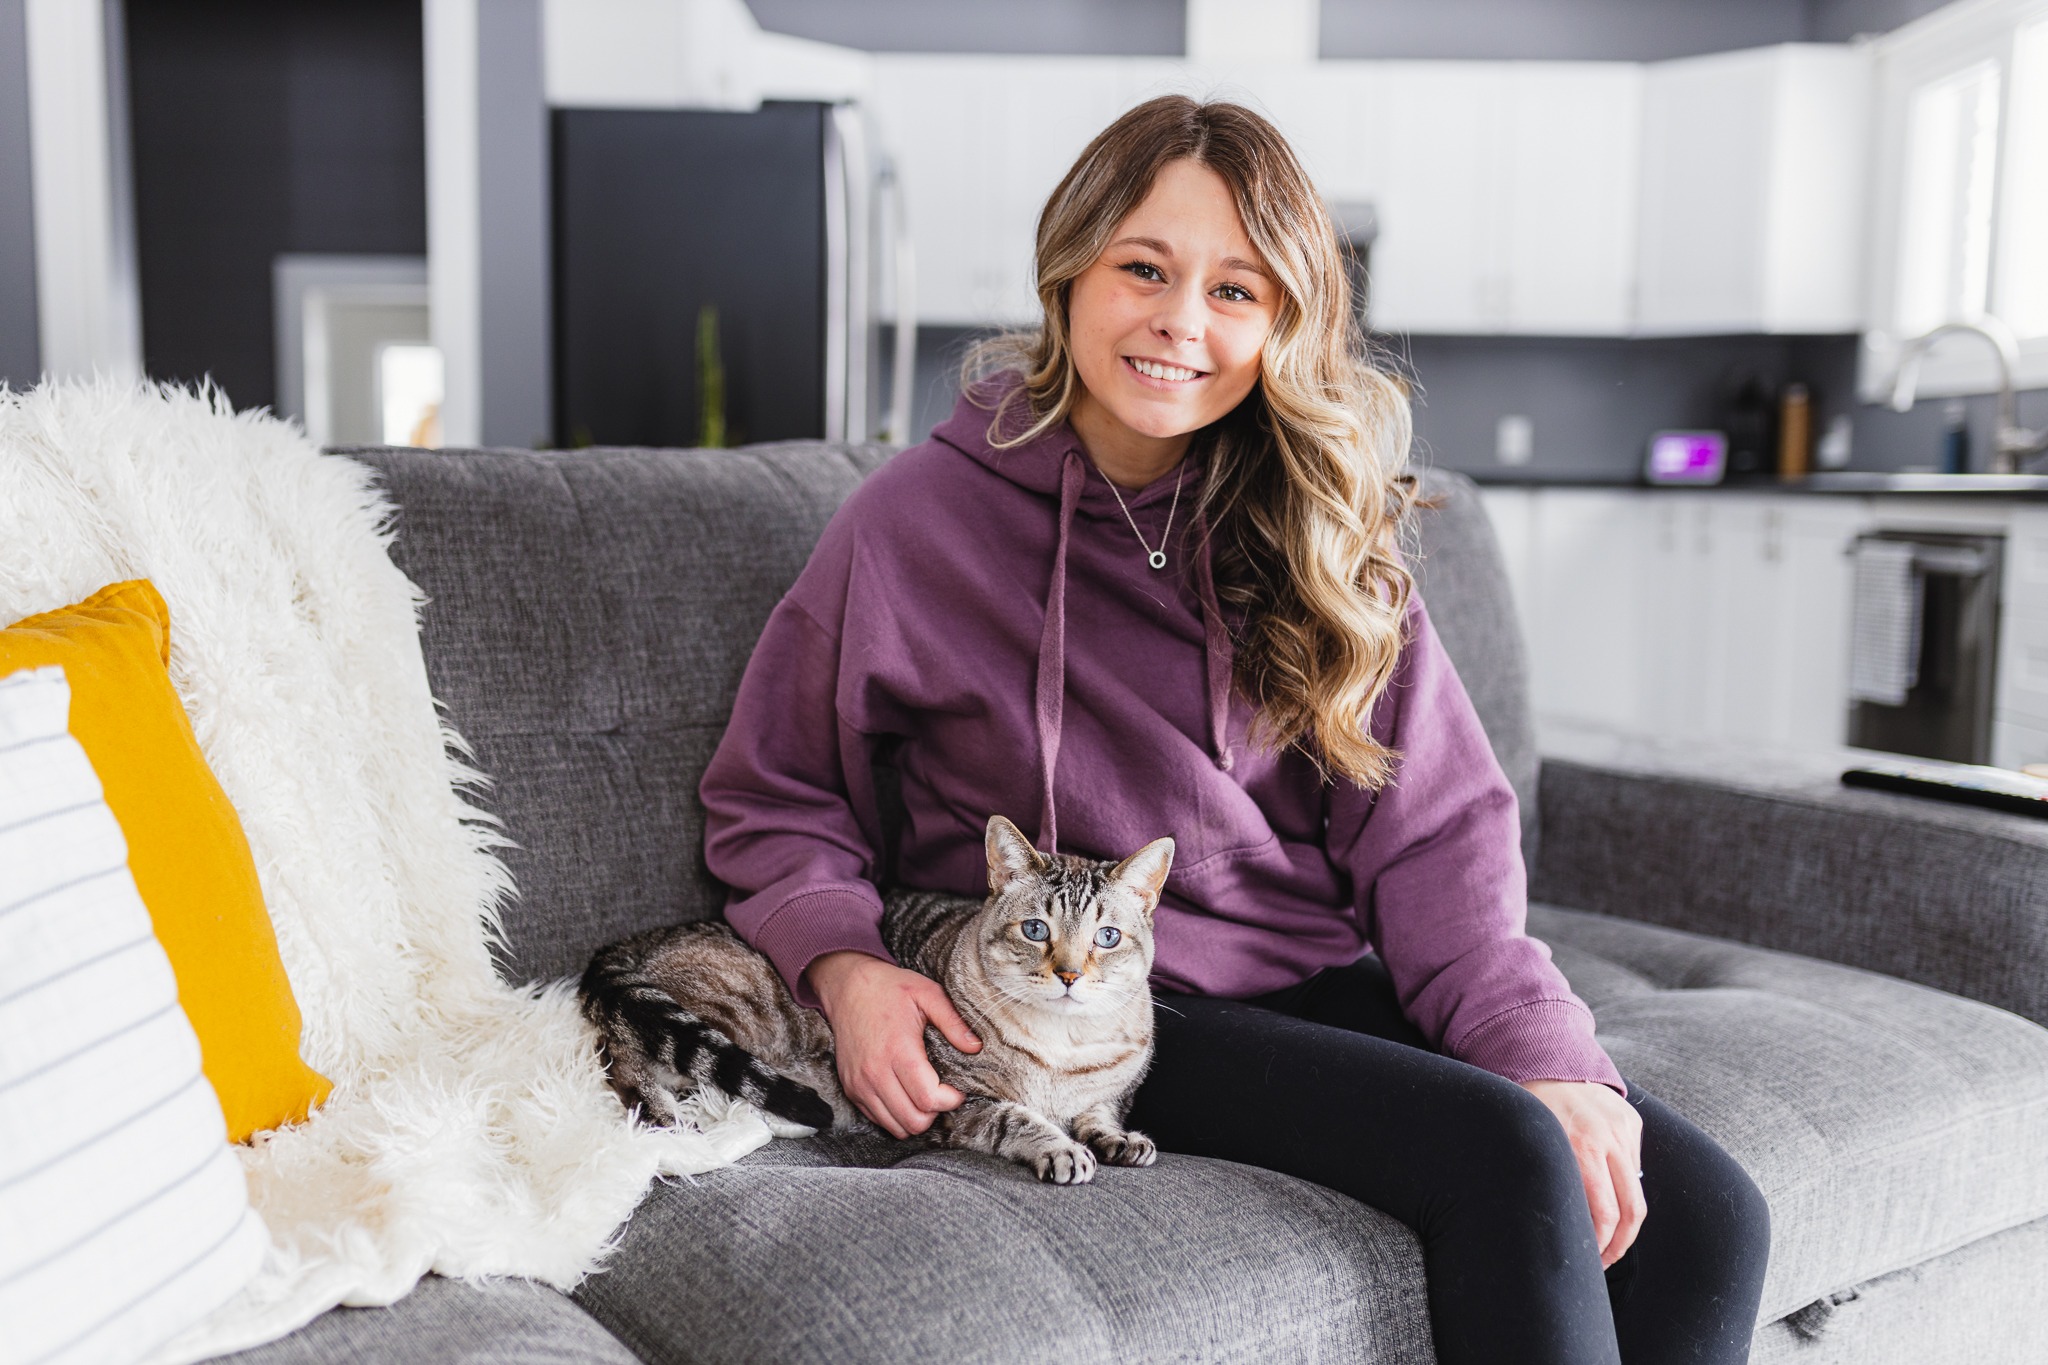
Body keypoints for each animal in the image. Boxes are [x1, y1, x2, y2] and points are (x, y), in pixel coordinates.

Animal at [585, 810, 1179, 1186]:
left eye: (1107, 937)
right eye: (1036, 930)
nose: (1070, 975)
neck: (1063, 1046)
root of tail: (641, 939)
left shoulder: (1110, 1090)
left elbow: (1099, 1112)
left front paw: (1118, 1140)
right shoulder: (960, 1102)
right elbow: (1020, 1119)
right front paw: (1062, 1149)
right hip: (744, 1014)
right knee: (619, 1053)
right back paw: (668, 1119)